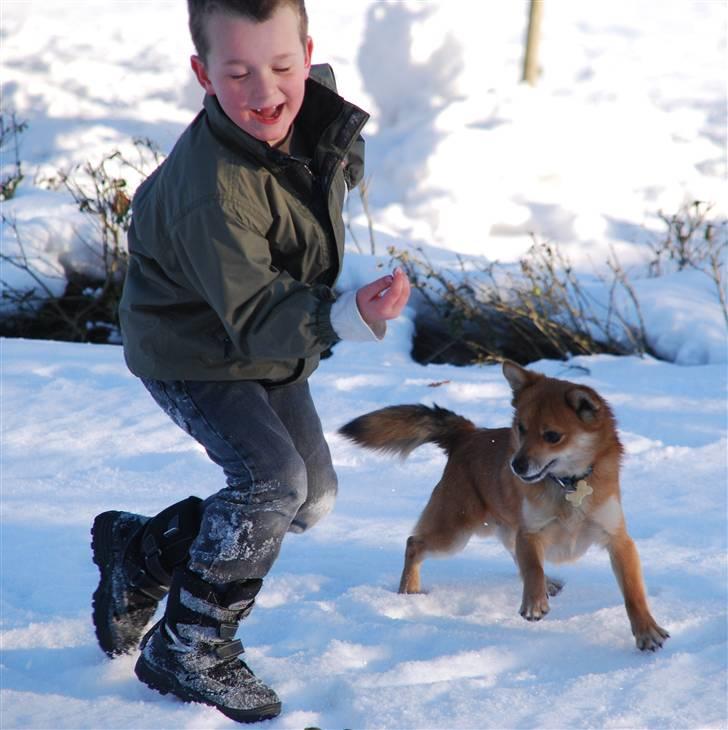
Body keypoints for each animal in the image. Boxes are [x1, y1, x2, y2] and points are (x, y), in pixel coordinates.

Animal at [342, 358, 672, 648]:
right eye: (521, 428)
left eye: (552, 436)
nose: (516, 466)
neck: (567, 485)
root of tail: (468, 435)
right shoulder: (531, 532)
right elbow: (532, 567)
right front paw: (534, 603)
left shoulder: (618, 540)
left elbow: (633, 592)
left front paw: (646, 631)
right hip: (455, 532)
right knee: (414, 544)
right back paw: (408, 590)